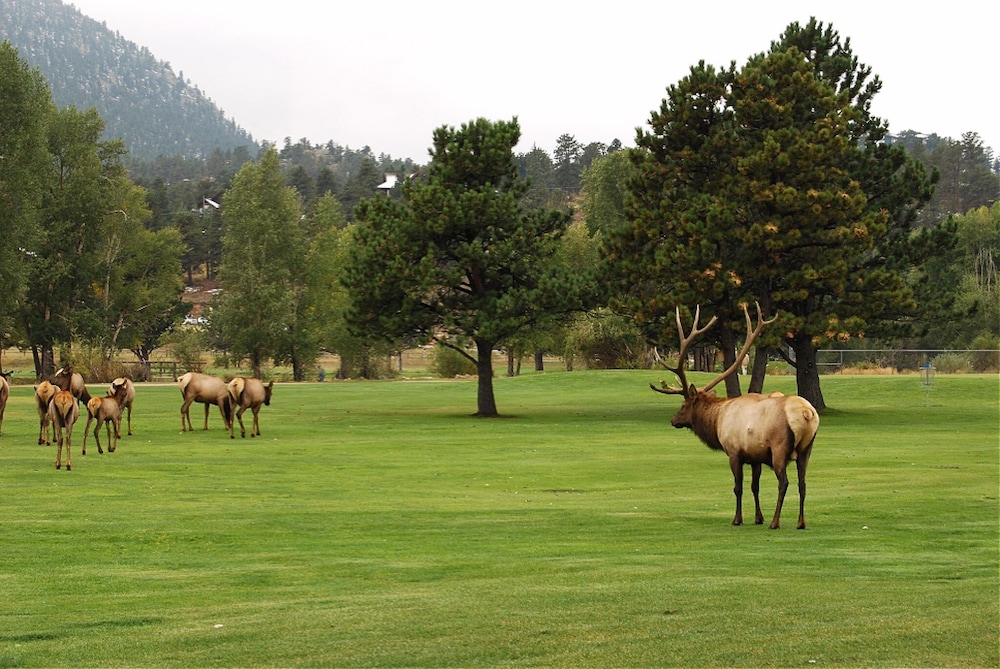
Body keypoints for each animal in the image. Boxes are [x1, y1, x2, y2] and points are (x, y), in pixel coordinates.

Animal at [648, 302, 820, 528]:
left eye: (684, 405)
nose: (673, 420)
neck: (718, 420)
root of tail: (807, 413)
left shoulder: (733, 451)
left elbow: (738, 487)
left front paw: (737, 519)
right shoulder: (755, 456)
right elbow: (755, 486)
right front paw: (758, 517)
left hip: (779, 448)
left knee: (784, 483)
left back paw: (775, 522)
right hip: (807, 449)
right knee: (803, 483)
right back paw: (801, 522)